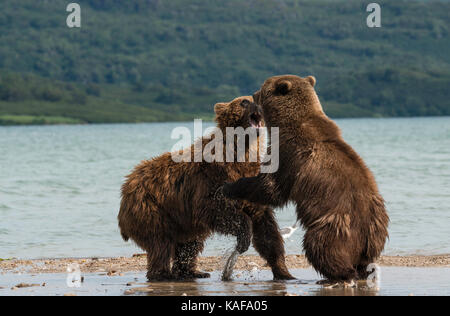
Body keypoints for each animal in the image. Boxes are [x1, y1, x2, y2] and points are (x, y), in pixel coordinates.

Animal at [118, 96, 294, 282]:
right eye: (244, 101)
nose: (258, 104)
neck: (241, 150)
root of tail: (126, 187)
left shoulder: (251, 185)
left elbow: (266, 229)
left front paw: (284, 271)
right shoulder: (211, 179)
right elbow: (214, 209)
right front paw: (243, 237)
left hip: (182, 220)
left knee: (190, 242)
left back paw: (193, 272)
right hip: (152, 208)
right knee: (160, 242)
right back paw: (164, 274)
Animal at [223, 75, 388, 282]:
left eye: (262, 88)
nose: (253, 94)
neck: (289, 123)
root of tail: (367, 236)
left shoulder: (289, 153)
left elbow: (271, 188)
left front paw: (230, 186)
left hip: (334, 224)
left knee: (320, 246)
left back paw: (337, 274)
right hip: (375, 234)